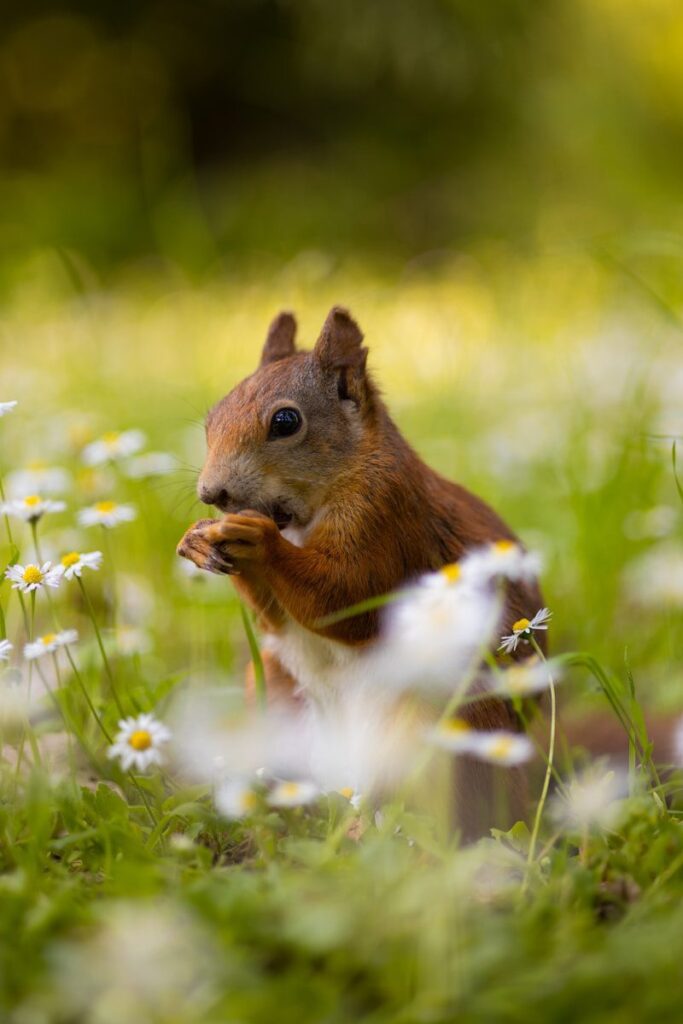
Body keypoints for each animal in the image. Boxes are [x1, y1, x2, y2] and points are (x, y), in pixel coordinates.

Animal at [177, 306, 546, 836]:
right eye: (212, 418)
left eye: (286, 421)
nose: (212, 493)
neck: (304, 516)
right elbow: (276, 619)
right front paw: (197, 539)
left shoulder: (384, 516)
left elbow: (345, 599)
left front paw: (258, 539)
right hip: (276, 695)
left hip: (440, 724)